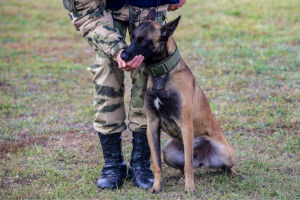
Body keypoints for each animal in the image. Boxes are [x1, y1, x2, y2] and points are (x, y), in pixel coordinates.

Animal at [120, 10, 237, 192]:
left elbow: (188, 165)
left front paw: (190, 188)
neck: (162, 75)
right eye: (132, 37)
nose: (123, 55)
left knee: (215, 166)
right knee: (184, 166)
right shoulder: (152, 125)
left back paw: (232, 174)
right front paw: (156, 186)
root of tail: (201, 159)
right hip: (168, 151)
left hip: (227, 153)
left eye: (143, 40)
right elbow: (156, 164)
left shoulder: (186, 124)